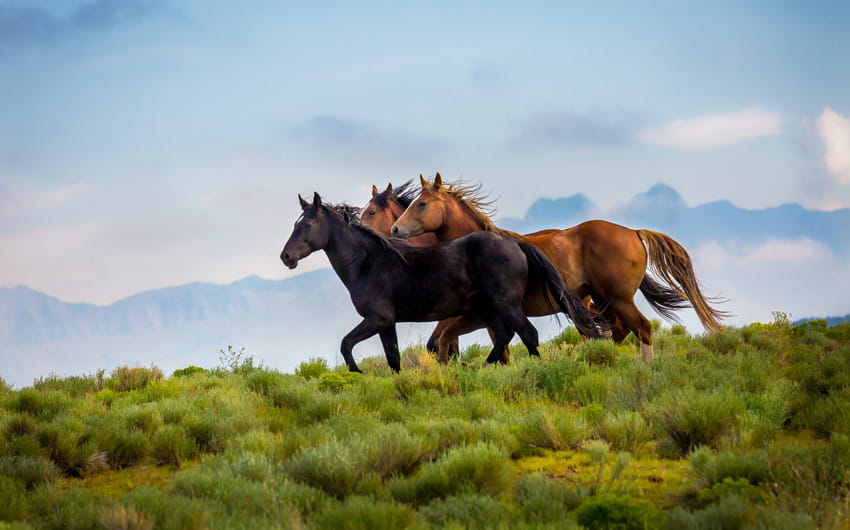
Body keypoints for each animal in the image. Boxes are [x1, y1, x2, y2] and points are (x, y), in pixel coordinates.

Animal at [281, 192, 605, 371]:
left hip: (506, 305)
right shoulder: (386, 323)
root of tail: (514, 243)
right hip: (490, 310)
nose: (286, 257)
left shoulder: (377, 318)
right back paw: (482, 369)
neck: (368, 263)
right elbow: (393, 359)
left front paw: (357, 373)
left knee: (528, 334)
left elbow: (346, 344)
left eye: (307, 224)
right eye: (295, 224)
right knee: (504, 337)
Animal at [390, 173, 729, 362]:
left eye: (422, 204)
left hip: (618, 299)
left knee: (641, 328)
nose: (395, 229)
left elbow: (452, 340)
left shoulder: (482, 313)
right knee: (616, 332)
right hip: (603, 301)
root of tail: (634, 232)